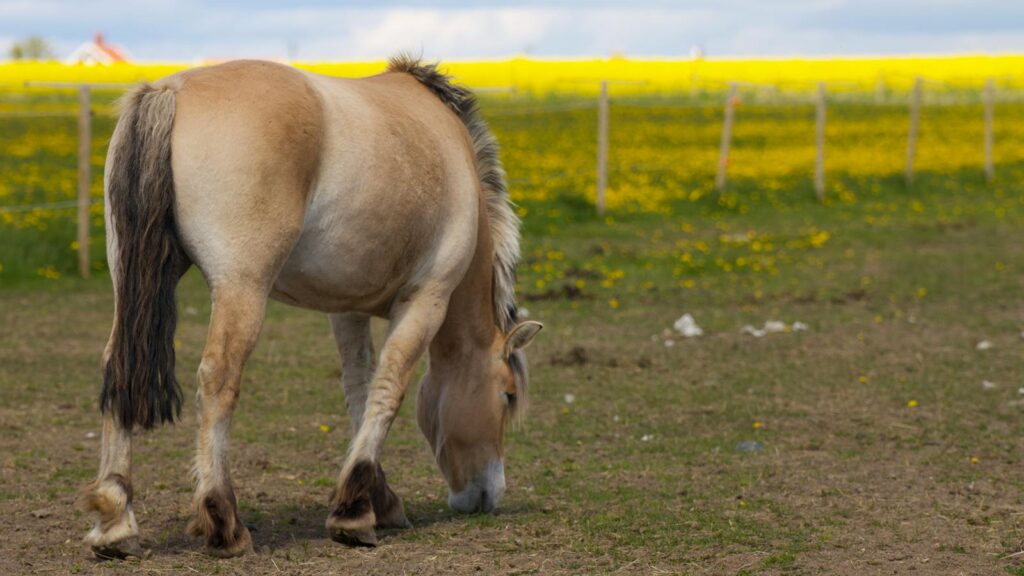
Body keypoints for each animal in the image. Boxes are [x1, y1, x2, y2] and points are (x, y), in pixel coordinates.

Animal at [78, 56, 543, 559]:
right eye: (507, 395)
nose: (488, 494)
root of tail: (173, 89)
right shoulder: (426, 301)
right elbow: (389, 389)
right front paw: (354, 512)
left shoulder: (347, 308)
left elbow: (359, 389)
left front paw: (377, 499)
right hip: (242, 288)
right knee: (219, 379)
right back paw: (223, 521)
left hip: (131, 286)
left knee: (118, 369)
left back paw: (116, 522)